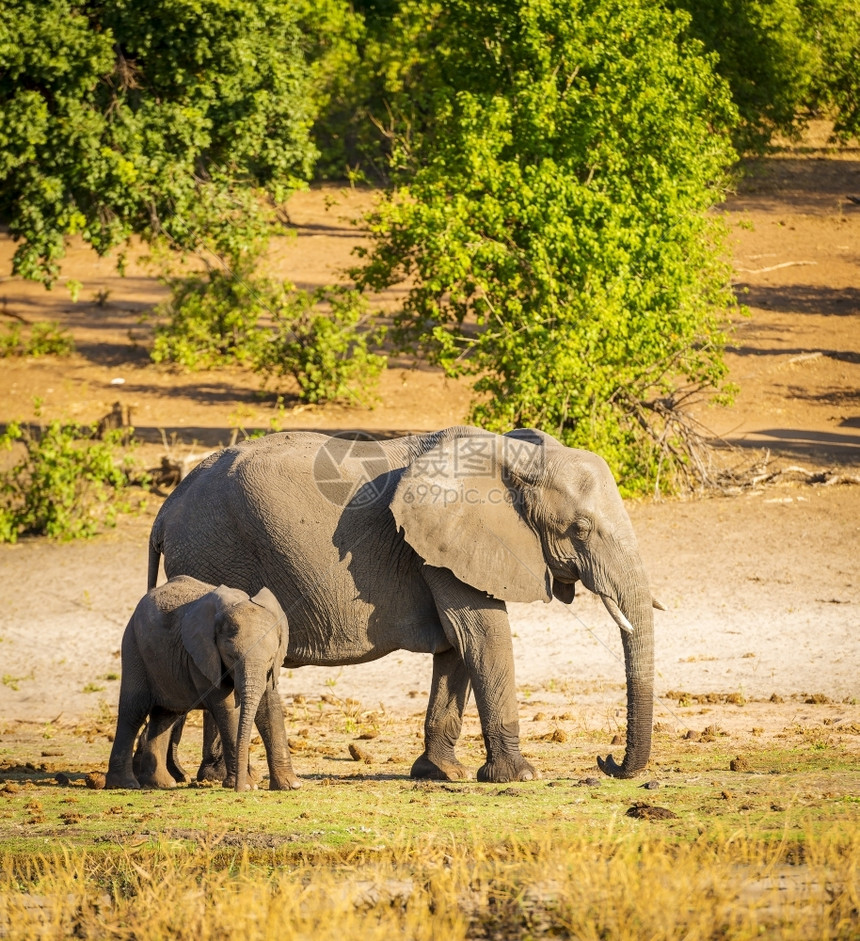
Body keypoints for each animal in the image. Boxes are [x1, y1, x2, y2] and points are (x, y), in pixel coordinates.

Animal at [106, 576, 298, 788]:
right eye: (230, 657)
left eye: (271, 657)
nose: (240, 787)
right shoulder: (203, 656)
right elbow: (226, 707)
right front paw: (247, 786)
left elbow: (269, 705)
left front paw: (290, 786)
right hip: (134, 647)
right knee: (134, 711)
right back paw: (125, 784)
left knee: (166, 715)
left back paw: (161, 784)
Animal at [149, 424, 660, 780]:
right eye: (581, 528)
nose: (607, 762)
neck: (514, 457)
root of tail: (166, 507)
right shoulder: (442, 545)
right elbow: (483, 634)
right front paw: (522, 776)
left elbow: (457, 646)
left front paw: (443, 774)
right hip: (215, 554)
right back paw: (224, 777)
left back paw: (213, 777)